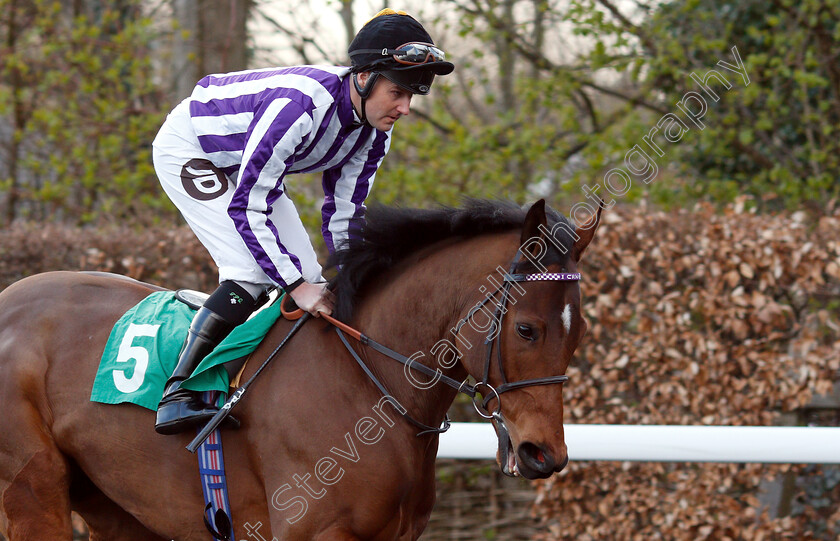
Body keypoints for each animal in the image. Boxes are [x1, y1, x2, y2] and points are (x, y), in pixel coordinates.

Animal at [1, 199, 604, 540]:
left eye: (579, 333)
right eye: (526, 329)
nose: (544, 454)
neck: (364, 385)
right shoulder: (312, 530)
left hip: (115, 505)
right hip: (33, 491)